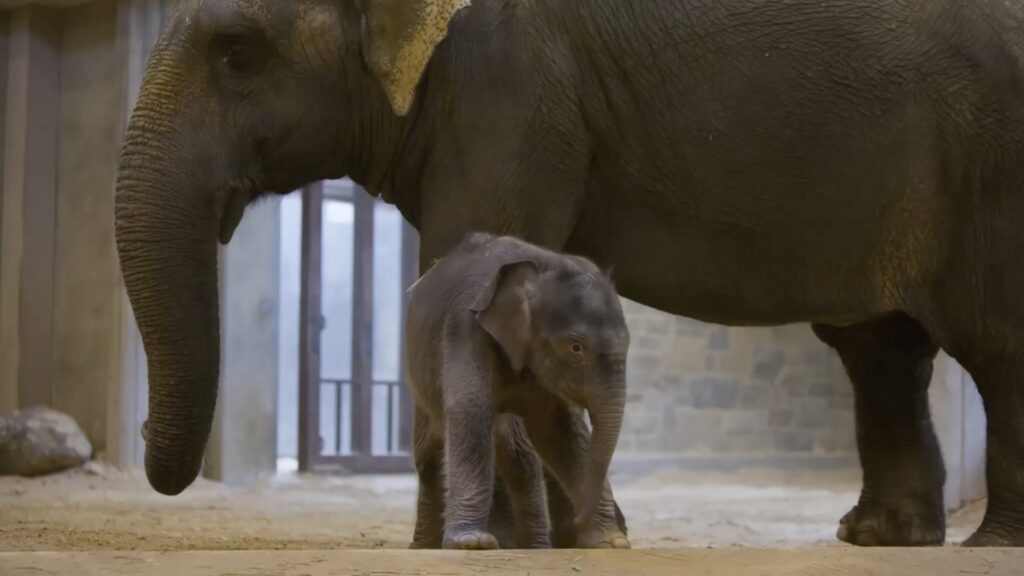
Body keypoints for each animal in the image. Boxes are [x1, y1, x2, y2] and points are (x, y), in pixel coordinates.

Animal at [404, 232, 631, 550]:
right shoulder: (464, 327)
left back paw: (531, 546)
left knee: (518, 456)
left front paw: (610, 543)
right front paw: (472, 543)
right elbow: (470, 409)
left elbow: (556, 430)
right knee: (430, 455)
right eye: (576, 347)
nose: (578, 523)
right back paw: (427, 547)